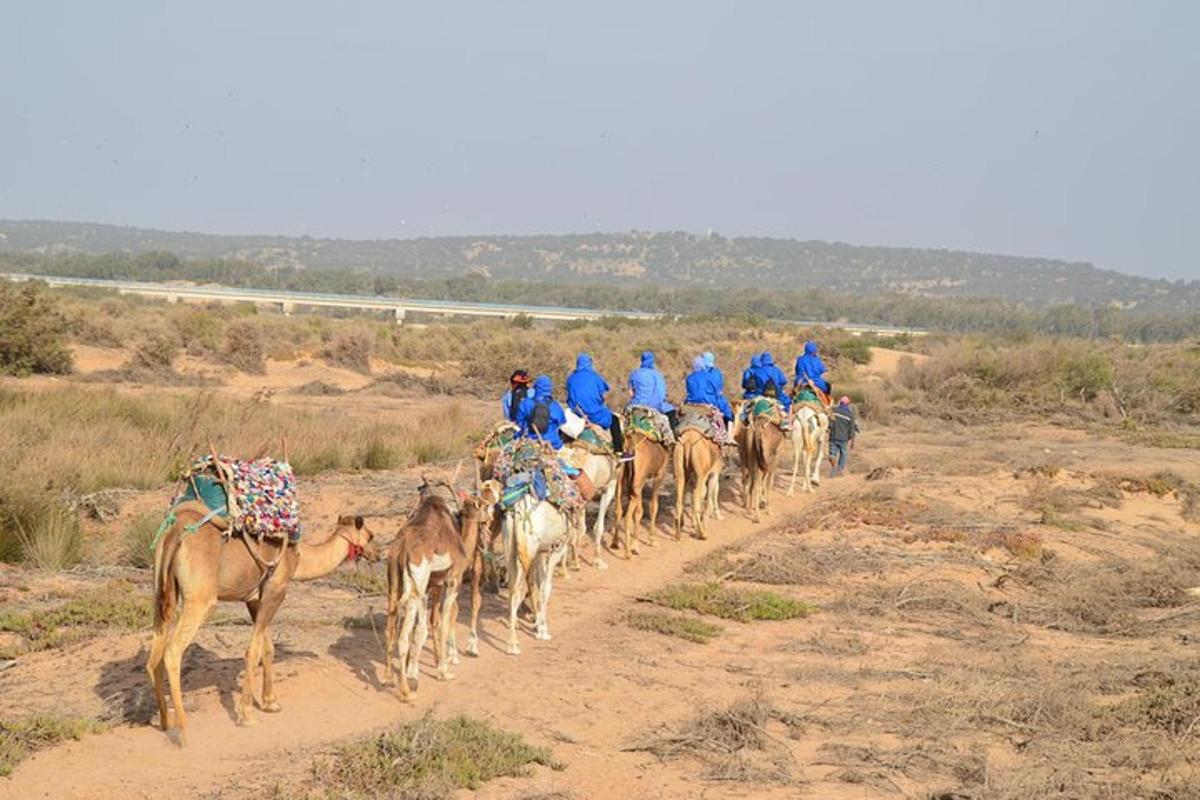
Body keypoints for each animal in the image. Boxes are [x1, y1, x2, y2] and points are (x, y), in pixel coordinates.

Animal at [147, 506, 376, 743]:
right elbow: (253, 651)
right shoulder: (276, 590)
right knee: (172, 652)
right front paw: (247, 715)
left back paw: (165, 722)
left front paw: (270, 702)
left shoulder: (255, 599)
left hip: (161, 590)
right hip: (200, 598)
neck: (299, 558)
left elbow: (267, 647)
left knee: (153, 656)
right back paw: (183, 730)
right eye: (371, 536)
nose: (377, 554)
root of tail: (174, 533)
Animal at [384, 482, 496, 700]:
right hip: (416, 585)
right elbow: (443, 621)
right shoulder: (452, 581)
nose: (491, 518)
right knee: (404, 636)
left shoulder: (431, 586)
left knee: (390, 629)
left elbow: (429, 624)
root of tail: (400, 549)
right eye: (483, 505)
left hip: (394, 584)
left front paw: (422, 668)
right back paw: (406, 692)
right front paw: (443, 671)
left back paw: (387, 678)